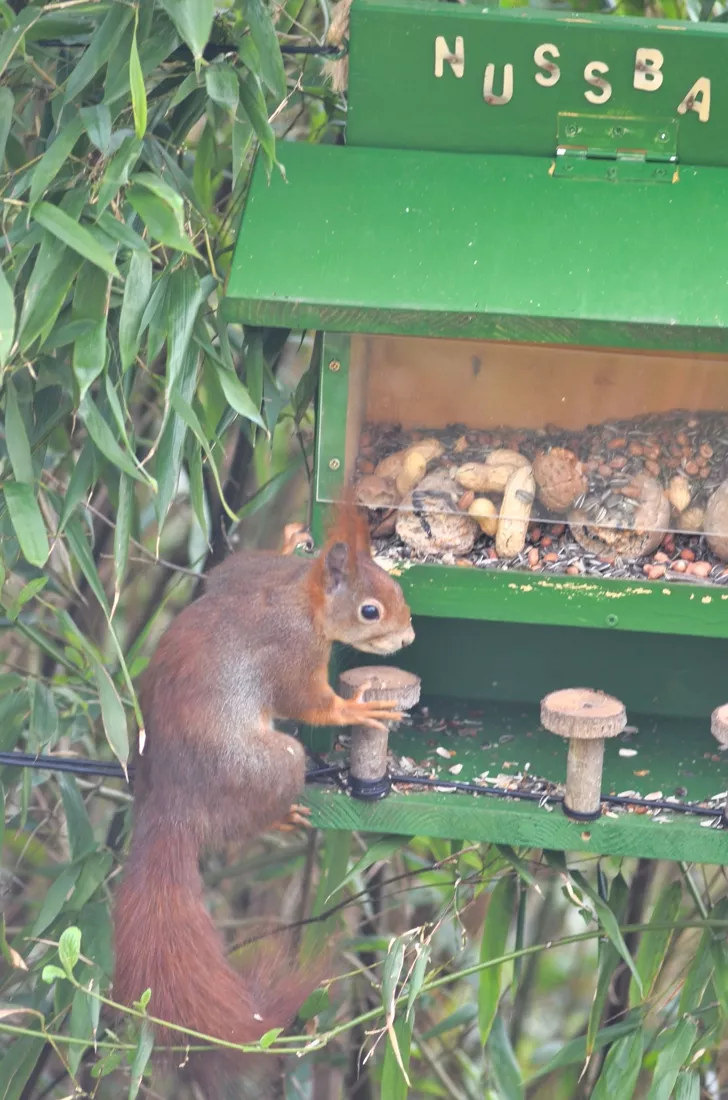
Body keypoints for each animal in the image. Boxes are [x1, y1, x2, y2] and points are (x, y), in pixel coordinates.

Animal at [112, 501, 415, 1081]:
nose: (409, 637)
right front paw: (358, 709)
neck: (300, 596)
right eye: (370, 611)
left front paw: (292, 537)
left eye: (394, 584)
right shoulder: (290, 654)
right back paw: (279, 816)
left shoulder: (242, 574)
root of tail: (166, 807)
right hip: (272, 762)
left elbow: (229, 569)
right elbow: (310, 703)